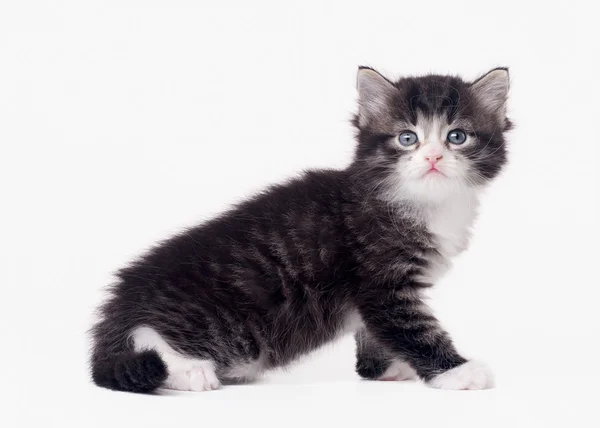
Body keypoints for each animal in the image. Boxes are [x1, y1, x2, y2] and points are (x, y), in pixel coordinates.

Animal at [90, 66, 510, 392]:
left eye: (457, 136)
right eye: (408, 138)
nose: (434, 157)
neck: (421, 202)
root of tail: (118, 305)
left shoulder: (376, 291)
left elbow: (374, 330)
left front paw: (384, 369)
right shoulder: (381, 282)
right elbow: (414, 328)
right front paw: (459, 371)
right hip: (219, 326)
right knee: (145, 339)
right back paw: (190, 369)